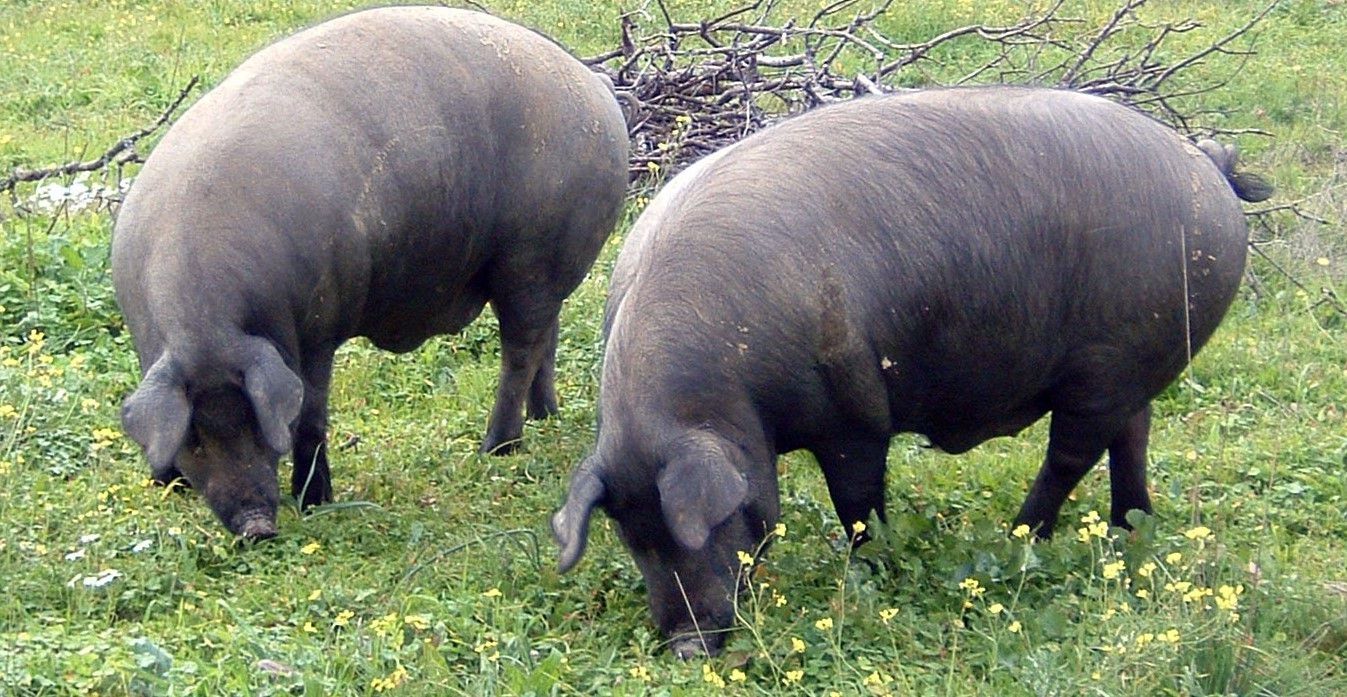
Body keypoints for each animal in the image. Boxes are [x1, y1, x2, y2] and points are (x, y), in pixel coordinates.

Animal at [113, 6, 627, 539]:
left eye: (258, 426)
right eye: (193, 437)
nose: (257, 526)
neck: (206, 323)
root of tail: (596, 89)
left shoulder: (319, 325)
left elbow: (310, 414)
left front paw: (315, 502)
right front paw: (167, 483)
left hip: (531, 260)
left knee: (520, 351)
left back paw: (497, 448)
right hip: (544, 273)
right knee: (548, 335)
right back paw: (545, 417)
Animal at [554, 84, 1271, 655]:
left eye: (699, 528)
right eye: (632, 539)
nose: (685, 646)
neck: (734, 392)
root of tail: (1205, 166)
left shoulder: (854, 412)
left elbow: (859, 502)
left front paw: (868, 572)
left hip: (1106, 368)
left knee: (1073, 453)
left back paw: (1020, 536)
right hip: (1128, 371)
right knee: (1132, 435)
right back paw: (1128, 531)